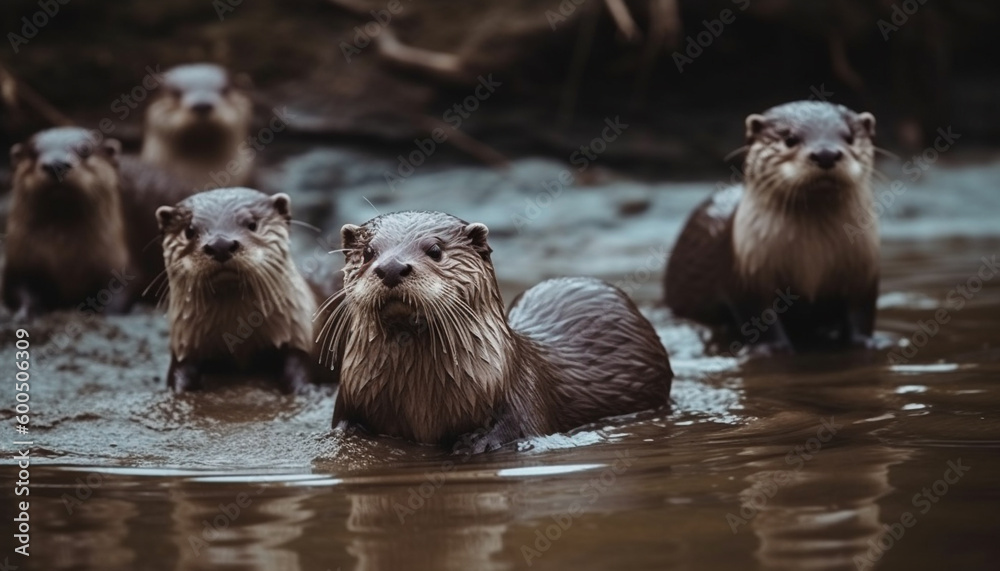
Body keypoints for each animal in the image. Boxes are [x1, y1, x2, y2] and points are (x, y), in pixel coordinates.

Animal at [0, 127, 131, 320]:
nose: (56, 164)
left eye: (85, 150)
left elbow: (118, 295)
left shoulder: (118, 267)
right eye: (32, 152)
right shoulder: (18, 266)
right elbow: (17, 289)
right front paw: (26, 313)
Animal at [320, 212, 676, 454]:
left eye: (435, 250)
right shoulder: (350, 397)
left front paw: (475, 442)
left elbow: (515, 428)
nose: (392, 268)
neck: (420, 398)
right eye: (369, 252)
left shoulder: (521, 395)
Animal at [668, 101, 880, 350]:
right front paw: (774, 349)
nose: (825, 153)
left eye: (849, 137)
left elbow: (861, 311)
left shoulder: (864, 272)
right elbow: (760, 317)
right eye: (790, 139)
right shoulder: (746, 276)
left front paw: (865, 342)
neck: (813, 261)